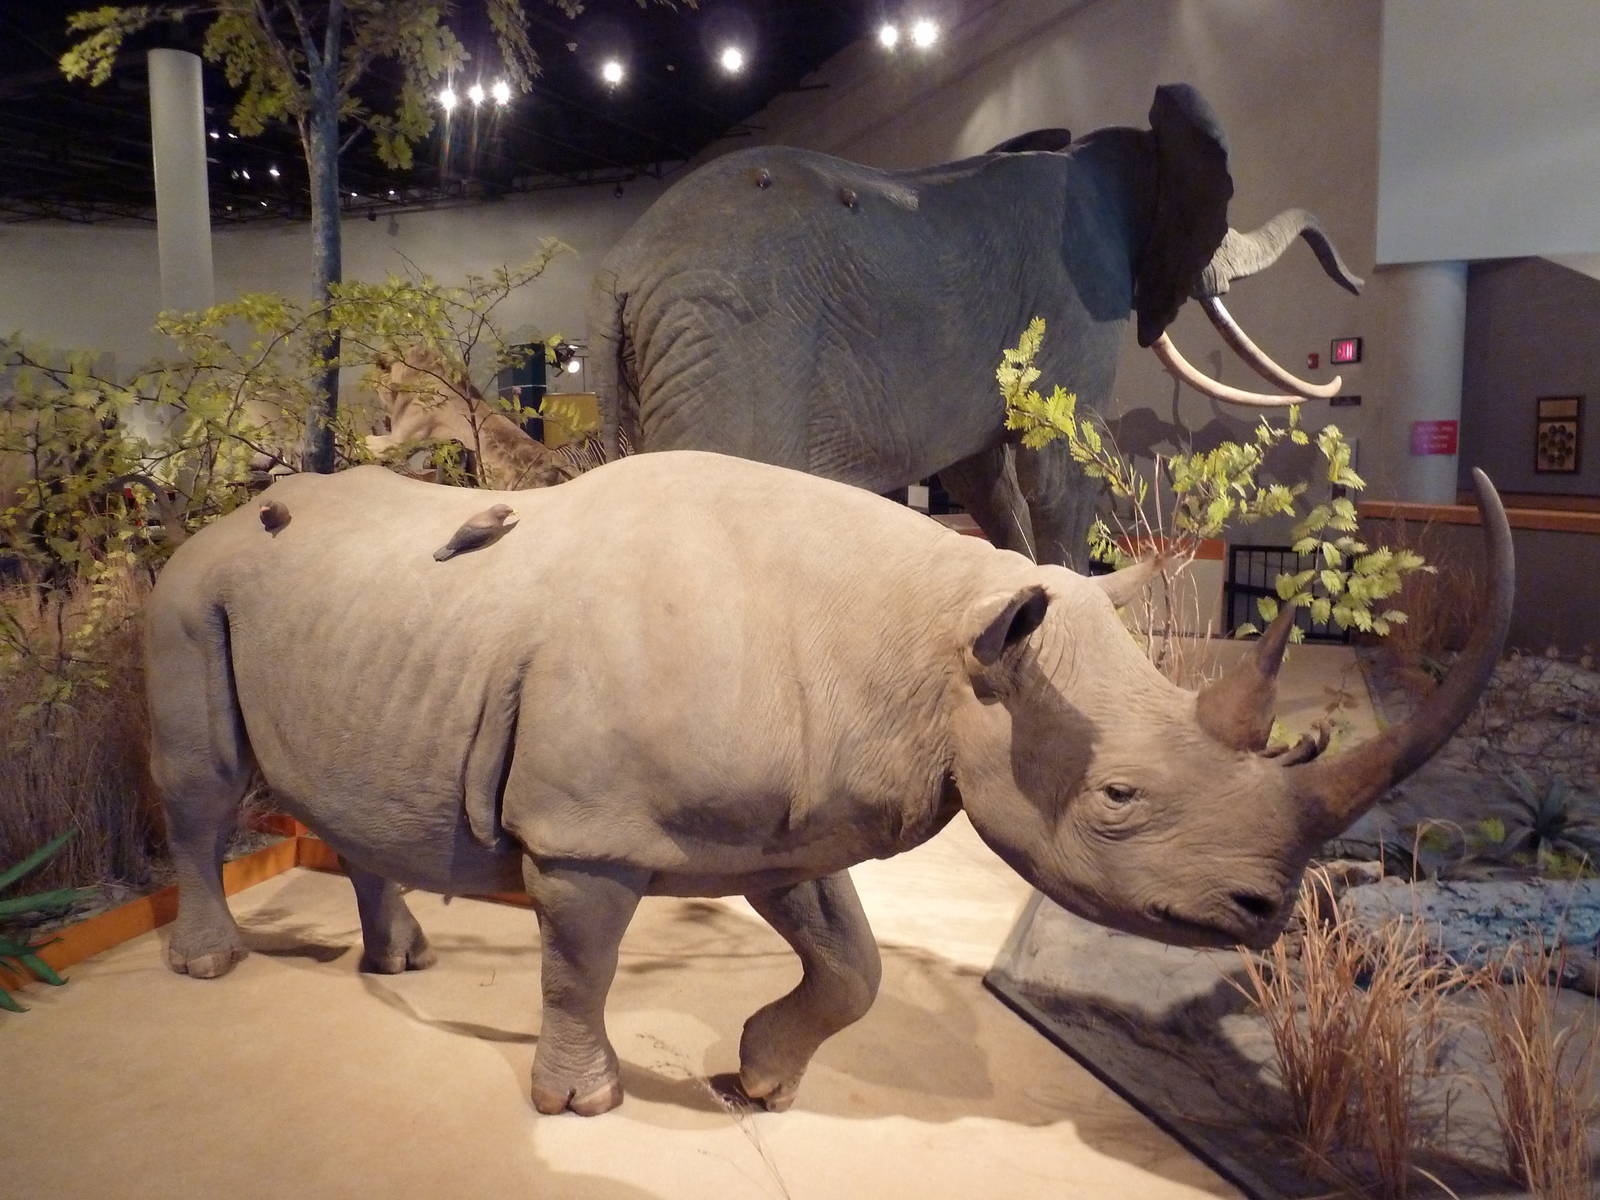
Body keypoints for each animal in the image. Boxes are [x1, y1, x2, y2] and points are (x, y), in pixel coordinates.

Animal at [145, 452, 1512, 1116]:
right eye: (1118, 798)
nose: (1263, 914)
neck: (941, 638)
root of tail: (206, 523)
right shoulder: (590, 831)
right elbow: (580, 965)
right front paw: (582, 1106)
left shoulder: (781, 823)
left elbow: (850, 965)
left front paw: (756, 1079)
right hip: (187, 595)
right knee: (203, 784)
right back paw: (208, 970)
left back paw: (402, 964)